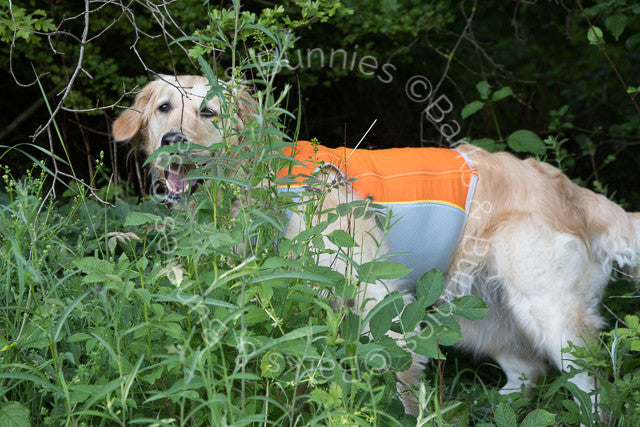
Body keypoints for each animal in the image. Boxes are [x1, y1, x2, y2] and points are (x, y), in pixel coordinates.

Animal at [112, 74, 640, 414]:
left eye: (209, 112)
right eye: (163, 108)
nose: (173, 140)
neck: (265, 182)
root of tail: (570, 190)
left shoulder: (381, 299)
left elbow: (398, 381)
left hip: (552, 316)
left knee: (596, 392)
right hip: (477, 313)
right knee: (528, 370)